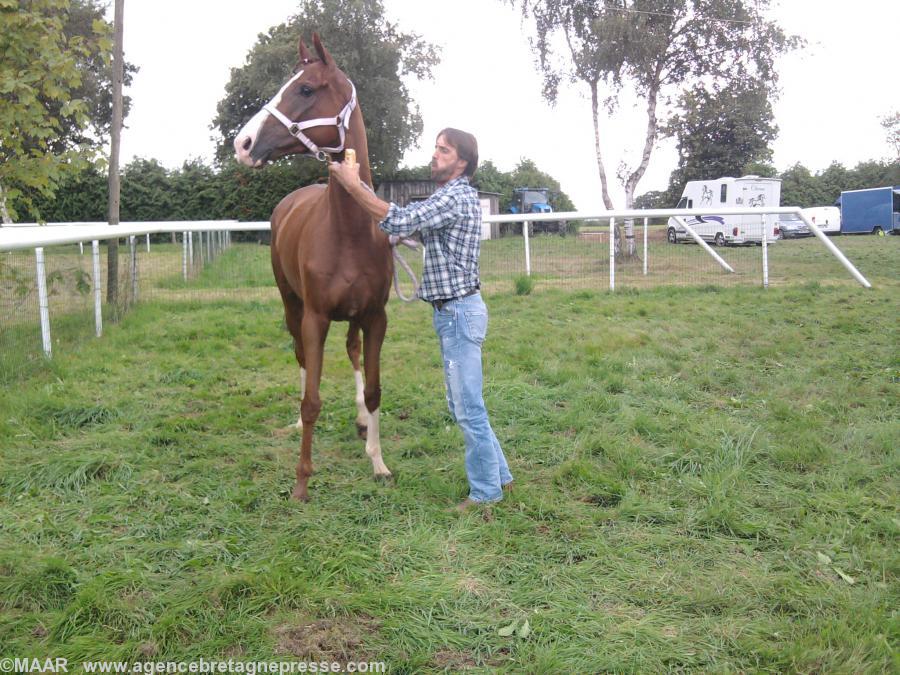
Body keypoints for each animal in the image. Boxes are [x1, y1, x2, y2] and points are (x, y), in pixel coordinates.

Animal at [236, 37, 394, 502]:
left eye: (305, 89)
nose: (243, 143)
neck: (349, 233)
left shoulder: (375, 317)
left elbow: (375, 390)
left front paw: (378, 461)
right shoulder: (316, 317)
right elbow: (312, 401)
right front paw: (302, 482)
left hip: (353, 317)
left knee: (353, 351)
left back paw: (360, 422)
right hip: (291, 305)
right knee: (301, 357)